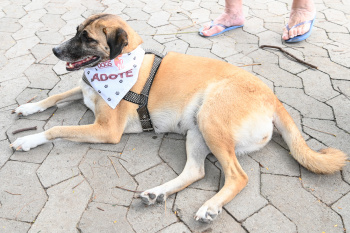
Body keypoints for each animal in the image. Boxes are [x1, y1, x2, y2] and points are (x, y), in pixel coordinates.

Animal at [10, 14, 348, 222]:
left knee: (237, 176)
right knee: (196, 172)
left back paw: (209, 207)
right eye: (75, 31)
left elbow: (56, 128)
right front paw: (28, 108)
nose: (55, 50)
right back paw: (157, 193)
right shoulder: (83, 91)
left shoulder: (106, 130)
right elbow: (53, 98)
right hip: (197, 131)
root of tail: (271, 97)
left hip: (211, 121)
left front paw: (29, 138)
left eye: (88, 38)